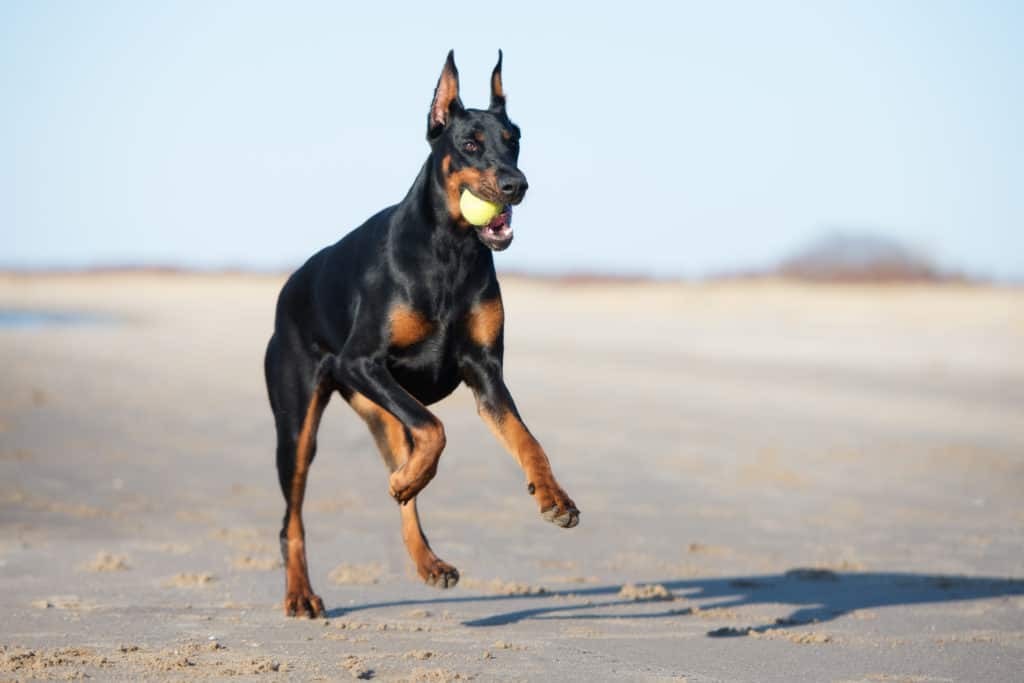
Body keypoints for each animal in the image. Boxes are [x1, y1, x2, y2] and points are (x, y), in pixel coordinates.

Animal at [264, 50, 581, 618]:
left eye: (514, 139)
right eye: (470, 143)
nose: (516, 185)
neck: (450, 250)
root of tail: (290, 286)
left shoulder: (486, 374)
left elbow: (527, 440)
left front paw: (554, 498)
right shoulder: (360, 362)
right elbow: (437, 428)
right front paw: (409, 478)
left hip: (382, 413)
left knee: (405, 476)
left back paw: (427, 556)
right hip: (300, 423)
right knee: (291, 517)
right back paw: (301, 593)